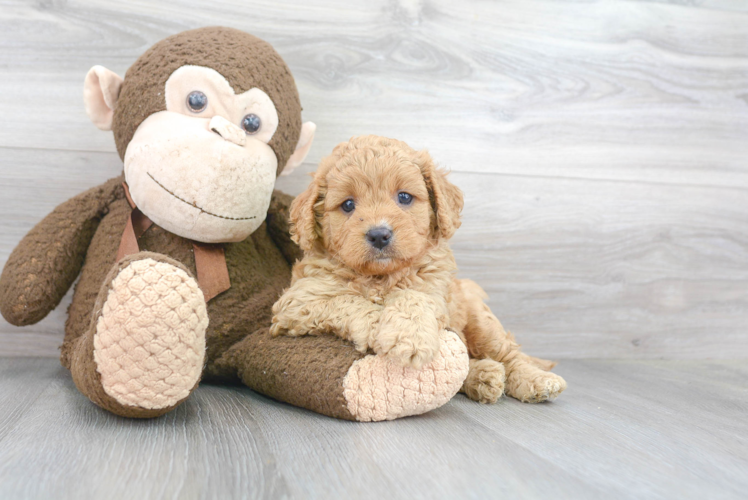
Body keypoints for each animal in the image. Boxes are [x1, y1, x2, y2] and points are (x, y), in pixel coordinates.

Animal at [272, 136, 568, 402]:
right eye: (347, 205)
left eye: (404, 197)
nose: (379, 235)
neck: (380, 277)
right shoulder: (297, 303)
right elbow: (346, 300)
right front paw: (378, 326)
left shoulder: (433, 287)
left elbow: (412, 298)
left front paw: (408, 337)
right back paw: (485, 377)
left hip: (481, 321)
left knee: (508, 354)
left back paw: (536, 380)